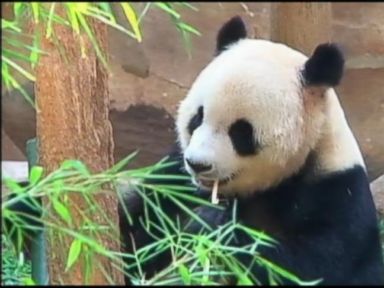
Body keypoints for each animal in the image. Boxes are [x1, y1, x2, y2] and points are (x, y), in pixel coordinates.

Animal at [118, 16, 382, 286]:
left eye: (241, 132)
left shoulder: (336, 191)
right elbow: (140, 226)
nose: (198, 165)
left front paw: (212, 227)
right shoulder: (173, 178)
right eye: (198, 117)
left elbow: (308, 264)